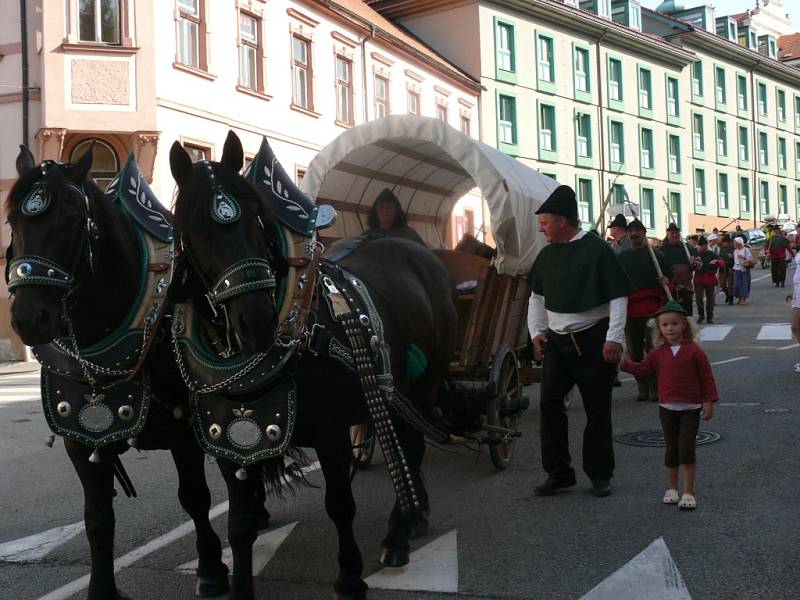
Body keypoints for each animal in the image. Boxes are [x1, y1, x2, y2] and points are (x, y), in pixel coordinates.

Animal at [7, 146, 228, 600]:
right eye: (12, 222)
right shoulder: (80, 440)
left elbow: (195, 496)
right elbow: (97, 519)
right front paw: (102, 589)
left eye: (72, 218)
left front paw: (212, 566)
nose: (28, 318)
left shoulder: (184, 428)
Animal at [169, 132, 456, 600]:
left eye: (256, 218)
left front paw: (350, 577)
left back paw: (400, 533)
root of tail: (419, 252)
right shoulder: (227, 442)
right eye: (192, 232)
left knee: (412, 445)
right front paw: (239, 586)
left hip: (424, 383)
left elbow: (340, 504)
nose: (255, 322)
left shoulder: (331, 431)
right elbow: (240, 523)